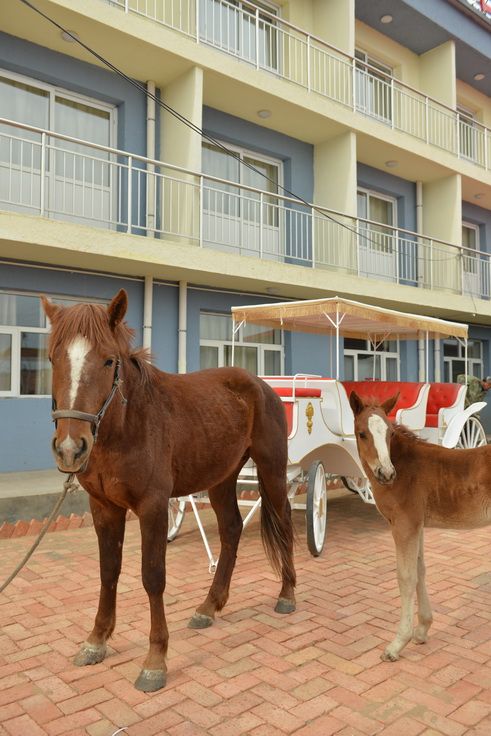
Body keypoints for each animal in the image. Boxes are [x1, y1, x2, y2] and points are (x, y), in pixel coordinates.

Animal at [41, 290, 296, 692]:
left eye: (108, 360)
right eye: (53, 357)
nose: (70, 448)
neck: (129, 424)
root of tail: (261, 385)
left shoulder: (153, 507)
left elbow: (152, 576)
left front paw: (155, 660)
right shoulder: (103, 507)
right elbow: (108, 571)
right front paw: (96, 641)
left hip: (272, 469)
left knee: (283, 520)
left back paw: (287, 594)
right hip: (222, 478)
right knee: (231, 530)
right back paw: (209, 607)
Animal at [350, 394, 491, 664]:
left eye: (390, 433)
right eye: (362, 433)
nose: (386, 473)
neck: (405, 469)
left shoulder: (404, 525)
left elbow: (406, 577)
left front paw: (396, 645)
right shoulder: (417, 525)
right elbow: (420, 570)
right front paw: (423, 629)